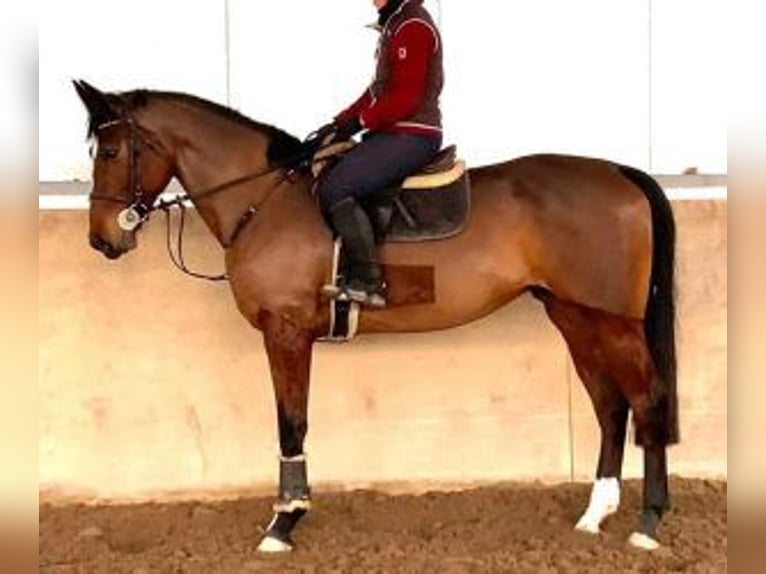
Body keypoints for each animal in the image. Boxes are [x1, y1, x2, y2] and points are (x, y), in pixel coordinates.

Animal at [73, 79, 678, 552]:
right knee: (609, 404)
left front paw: (284, 522)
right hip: (575, 315)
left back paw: (648, 523)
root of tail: (620, 173)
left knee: (646, 399)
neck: (264, 200)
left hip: (614, 322)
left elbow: (291, 421)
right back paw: (594, 515)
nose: (102, 240)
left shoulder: (286, 332)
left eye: (110, 153)